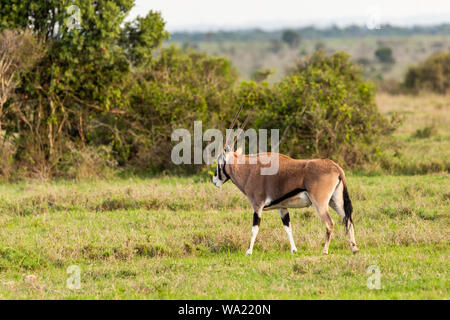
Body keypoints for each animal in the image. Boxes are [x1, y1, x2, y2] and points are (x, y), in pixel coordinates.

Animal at [213, 107, 360, 255]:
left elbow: (254, 228)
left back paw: (324, 251)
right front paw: (294, 249)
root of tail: (336, 167)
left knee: (330, 223)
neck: (248, 169)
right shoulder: (282, 207)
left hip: (320, 202)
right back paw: (354, 248)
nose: (215, 181)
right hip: (334, 201)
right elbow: (288, 227)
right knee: (348, 219)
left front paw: (249, 251)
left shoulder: (257, 205)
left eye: (219, 162)